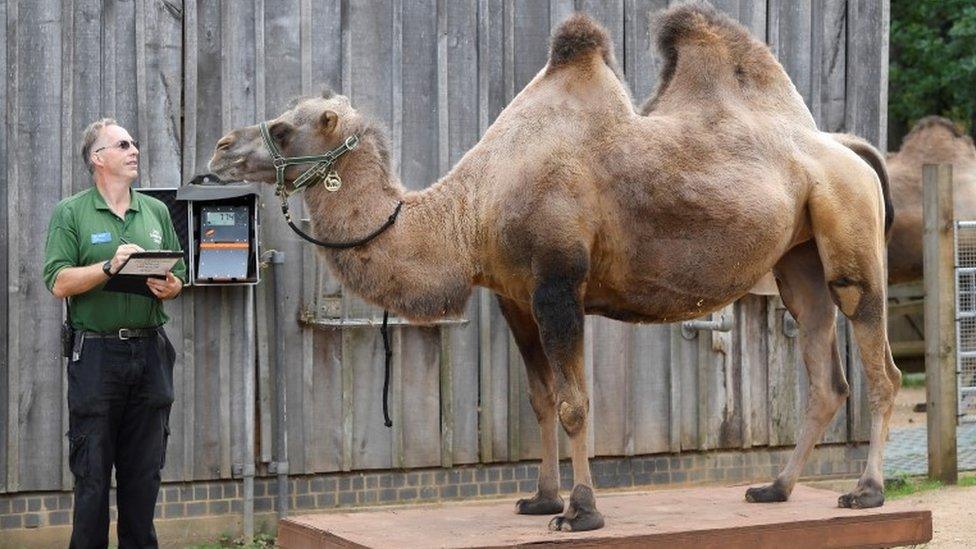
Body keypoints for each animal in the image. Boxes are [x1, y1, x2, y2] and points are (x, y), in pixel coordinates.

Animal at [212, 4, 900, 532]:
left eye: (283, 127)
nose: (219, 149)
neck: (470, 211)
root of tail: (848, 147)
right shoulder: (513, 294)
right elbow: (541, 400)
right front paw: (542, 498)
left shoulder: (557, 283)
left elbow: (575, 403)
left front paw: (582, 511)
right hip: (797, 258)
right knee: (825, 372)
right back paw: (775, 489)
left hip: (851, 234)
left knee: (880, 362)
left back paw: (866, 491)